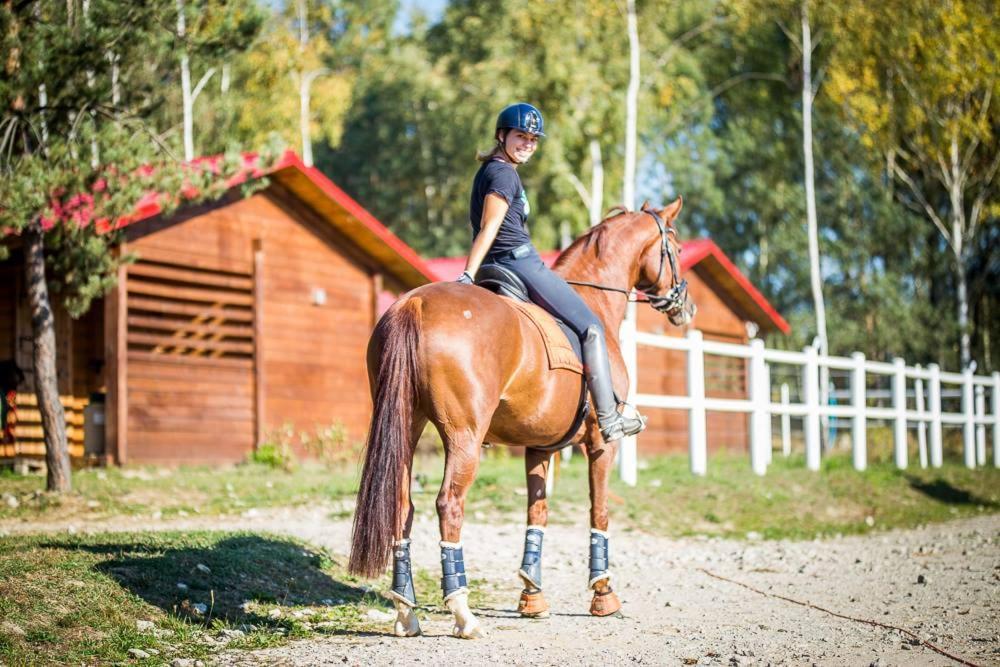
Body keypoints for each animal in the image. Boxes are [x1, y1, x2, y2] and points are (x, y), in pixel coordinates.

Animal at [348, 198, 692, 636]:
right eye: (677, 249)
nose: (686, 307)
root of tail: (415, 303)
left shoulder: (540, 447)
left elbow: (537, 514)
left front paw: (532, 595)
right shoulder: (601, 444)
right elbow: (599, 511)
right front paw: (603, 594)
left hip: (407, 427)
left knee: (402, 506)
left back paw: (406, 612)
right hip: (464, 437)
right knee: (449, 505)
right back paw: (463, 612)